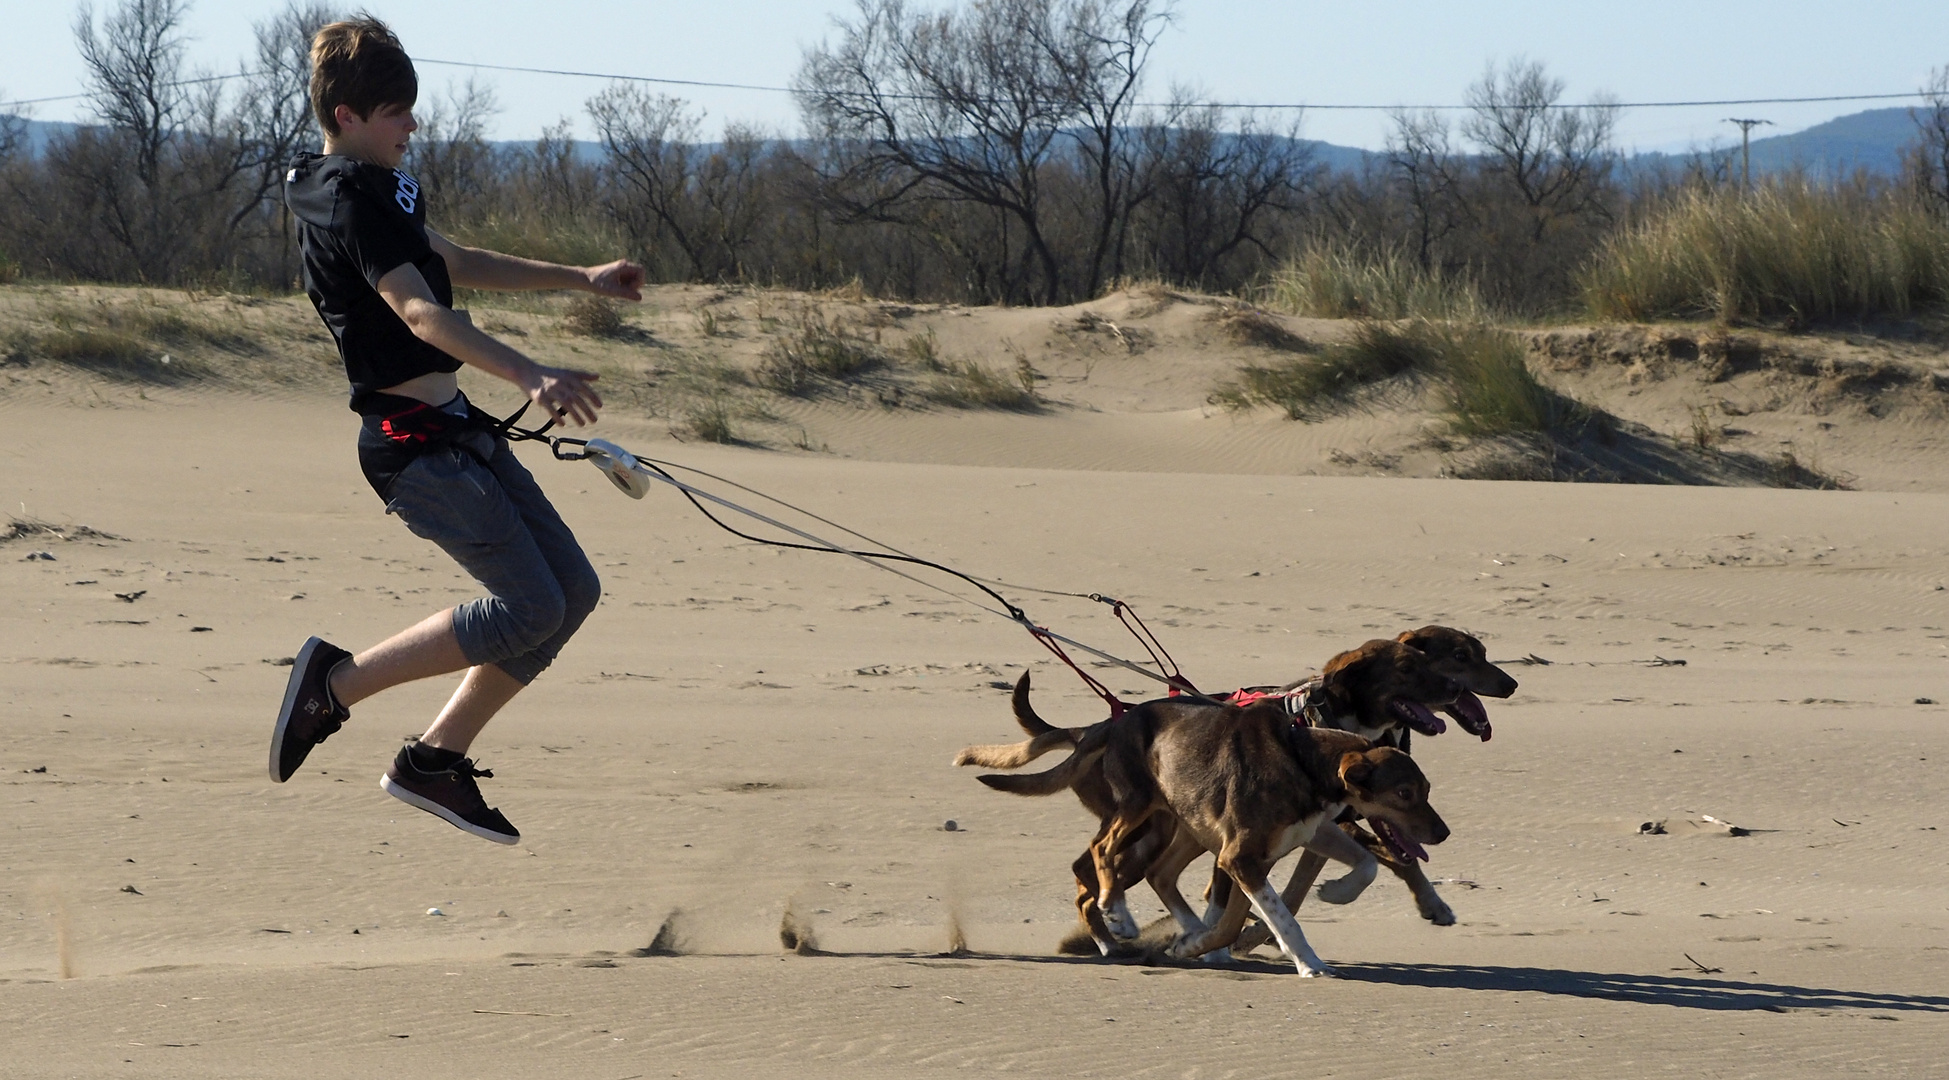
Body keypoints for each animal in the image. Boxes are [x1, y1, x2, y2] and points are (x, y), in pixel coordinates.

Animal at [982, 697, 1442, 974]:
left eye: (1426, 790)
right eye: (1404, 794)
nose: (1444, 832)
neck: (1303, 759)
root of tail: (1114, 722)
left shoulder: (1284, 843)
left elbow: (1364, 866)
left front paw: (1336, 892)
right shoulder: (1240, 857)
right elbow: (1282, 920)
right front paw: (1309, 963)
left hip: (1188, 825)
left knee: (1161, 874)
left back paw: (1184, 929)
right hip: (1139, 806)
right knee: (1102, 849)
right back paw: (1118, 913)